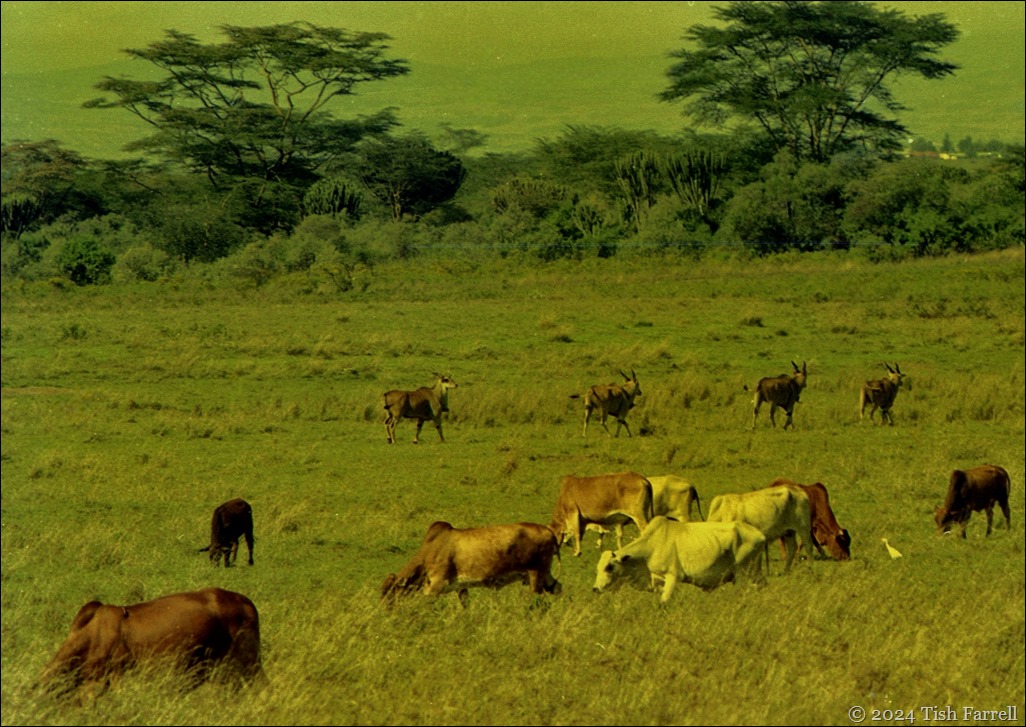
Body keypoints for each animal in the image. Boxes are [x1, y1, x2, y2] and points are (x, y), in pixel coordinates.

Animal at [380, 521, 561, 605]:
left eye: (391, 593)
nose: (386, 612)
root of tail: (548, 531)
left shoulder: (436, 584)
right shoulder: (461, 587)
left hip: (535, 573)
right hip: (545, 574)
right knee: (557, 587)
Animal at [592, 516, 767, 602]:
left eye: (609, 567)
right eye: (597, 568)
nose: (595, 589)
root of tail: (760, 535)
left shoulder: (673, 577)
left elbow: (664, 601)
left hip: (743, 574)